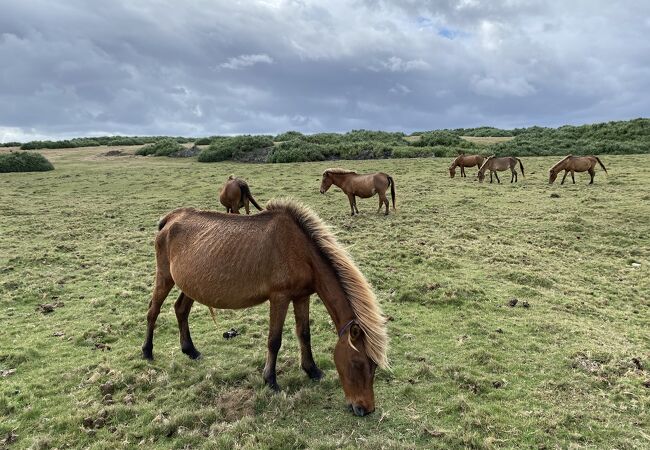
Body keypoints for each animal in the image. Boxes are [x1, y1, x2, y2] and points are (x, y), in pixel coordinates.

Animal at [142, 200, 384, 418]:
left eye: (373, 366)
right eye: (357, 363)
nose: (365, 409)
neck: (299, 249)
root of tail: (170, 219)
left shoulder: (301, 297)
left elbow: (304, 334)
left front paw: (312, 370)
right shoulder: (279, 298)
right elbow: (274, 341)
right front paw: (271, 380)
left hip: (190, 285)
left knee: (180, 309)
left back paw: (190, 350)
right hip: (164, 277)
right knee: (153, 311)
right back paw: (147, 351)